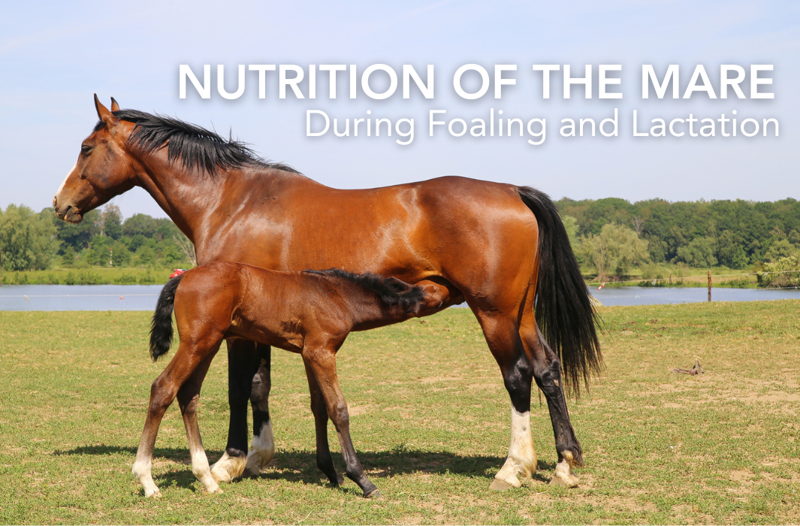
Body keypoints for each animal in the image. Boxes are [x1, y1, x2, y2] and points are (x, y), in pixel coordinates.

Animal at [135, 262, 434, 498]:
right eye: (428, 293)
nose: (437, 289)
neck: (337, 295)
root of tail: (183, 277)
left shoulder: (311, 353)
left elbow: (319, 407)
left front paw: (330, 472)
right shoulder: (322, 353)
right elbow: (338, 409)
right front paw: (362, 480)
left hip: (208, 344)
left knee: (188, 395)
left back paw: (207, 479)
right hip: (197, 343)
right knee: (163, 387)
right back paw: (147, 481)